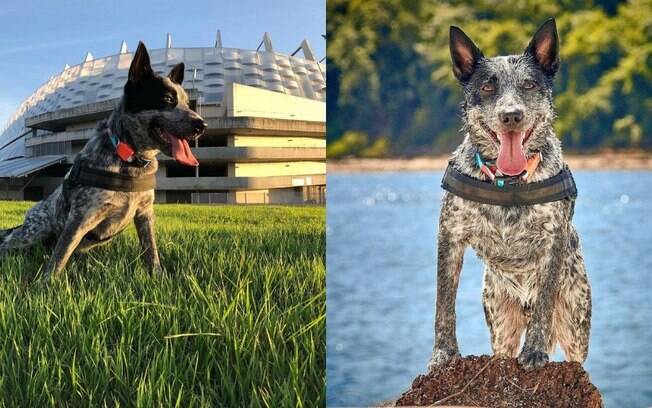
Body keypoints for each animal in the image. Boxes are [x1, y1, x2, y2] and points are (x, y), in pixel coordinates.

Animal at [0, 43, 206, 278]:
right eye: (168, 100)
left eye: (188, 103)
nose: (202, 125)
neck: (130, 158)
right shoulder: (81, 217)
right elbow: (60, 255)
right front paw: (47, 282)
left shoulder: (145, 213)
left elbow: (151, 250)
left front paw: (158, 276)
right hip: (34, 230)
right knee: (9, 241)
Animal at [428, 18, 592, 370]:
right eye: (488, 87)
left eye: (528, 85)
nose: (511, 115)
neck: (509, 181)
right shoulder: (449, 237)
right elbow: (443, 302)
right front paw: (443, 353)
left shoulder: (553, 243)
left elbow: (543, 304)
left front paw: (535, 351)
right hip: (499, 320)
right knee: (501, 349)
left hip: (576, 321)